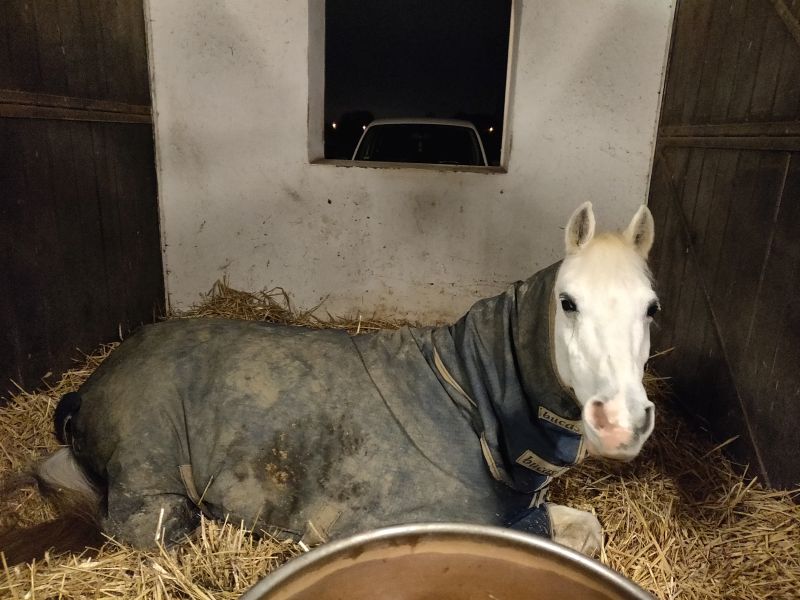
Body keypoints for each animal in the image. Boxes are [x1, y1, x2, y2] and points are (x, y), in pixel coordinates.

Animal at [0, 202, 659, 565]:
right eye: (568, 303)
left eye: (651, 308)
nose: (621, 422)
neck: (472, 398)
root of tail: (93, 384)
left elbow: (586, 531)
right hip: (153, 488)